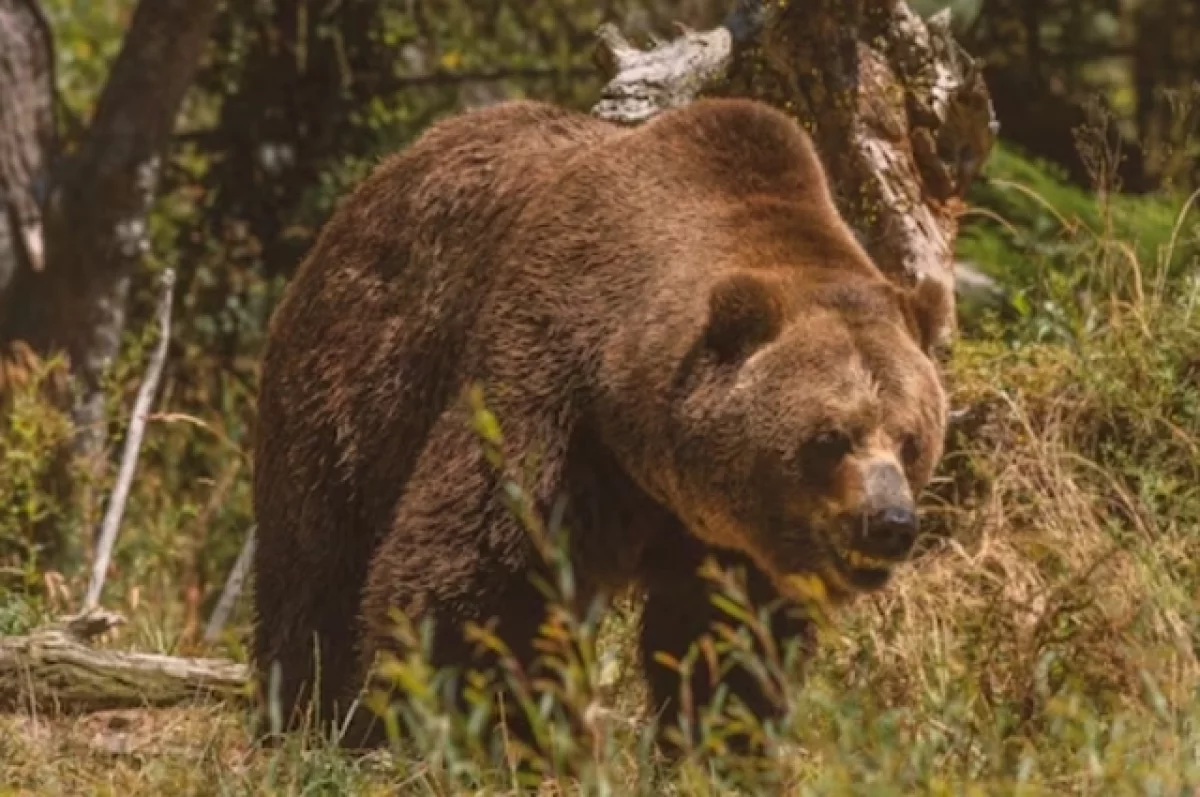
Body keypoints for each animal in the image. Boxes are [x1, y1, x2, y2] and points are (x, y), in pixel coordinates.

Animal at [251, 96, 949, 759]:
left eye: (911, 440)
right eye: (830, 437)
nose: (888, 522)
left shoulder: (728, 541)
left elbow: (726, 640)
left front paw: (725, 744)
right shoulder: (554, 406)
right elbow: (489, 581)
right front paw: (493, 733)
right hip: (356, 385)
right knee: (316, 566)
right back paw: (307, 719)